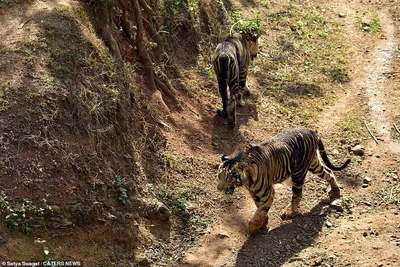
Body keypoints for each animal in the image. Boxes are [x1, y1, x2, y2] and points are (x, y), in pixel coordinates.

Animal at [216, 129, 350, 236]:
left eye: (229, 177)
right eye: (219, 176)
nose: (219, 188)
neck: (246, 181)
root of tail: (312, 131)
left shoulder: (267, 193)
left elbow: (261, 210)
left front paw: (253, 228)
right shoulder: (254, 193)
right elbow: (259, 208)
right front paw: (263, 222)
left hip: (299, 174)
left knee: (297, 194)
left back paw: (289, 212)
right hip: (314, 164)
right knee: (329, 172)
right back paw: (335, 191)